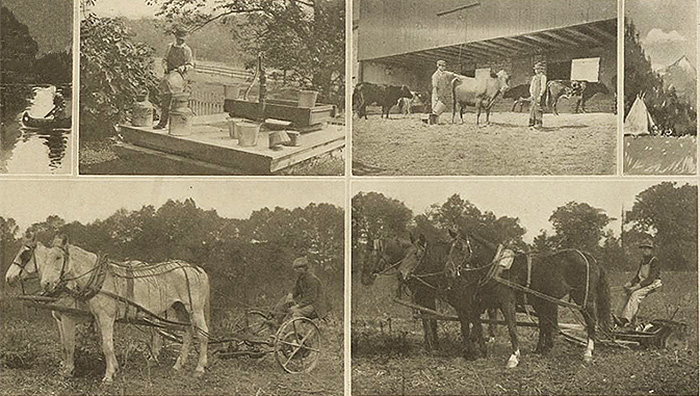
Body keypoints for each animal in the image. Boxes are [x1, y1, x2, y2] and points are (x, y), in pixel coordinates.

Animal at [5, 234, 209, 382]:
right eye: (46, 259)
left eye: (24, 255)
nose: (8, 278)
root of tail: (197, 269)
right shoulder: (67, 318)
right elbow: (67, 344)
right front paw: (66, 367)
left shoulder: (91, 317)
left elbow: (97, 345)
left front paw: (106, 374)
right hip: (179, 308)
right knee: (186, 332)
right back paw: (177, 364)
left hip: (194, 309)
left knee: (202, 334)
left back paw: (199, 369)